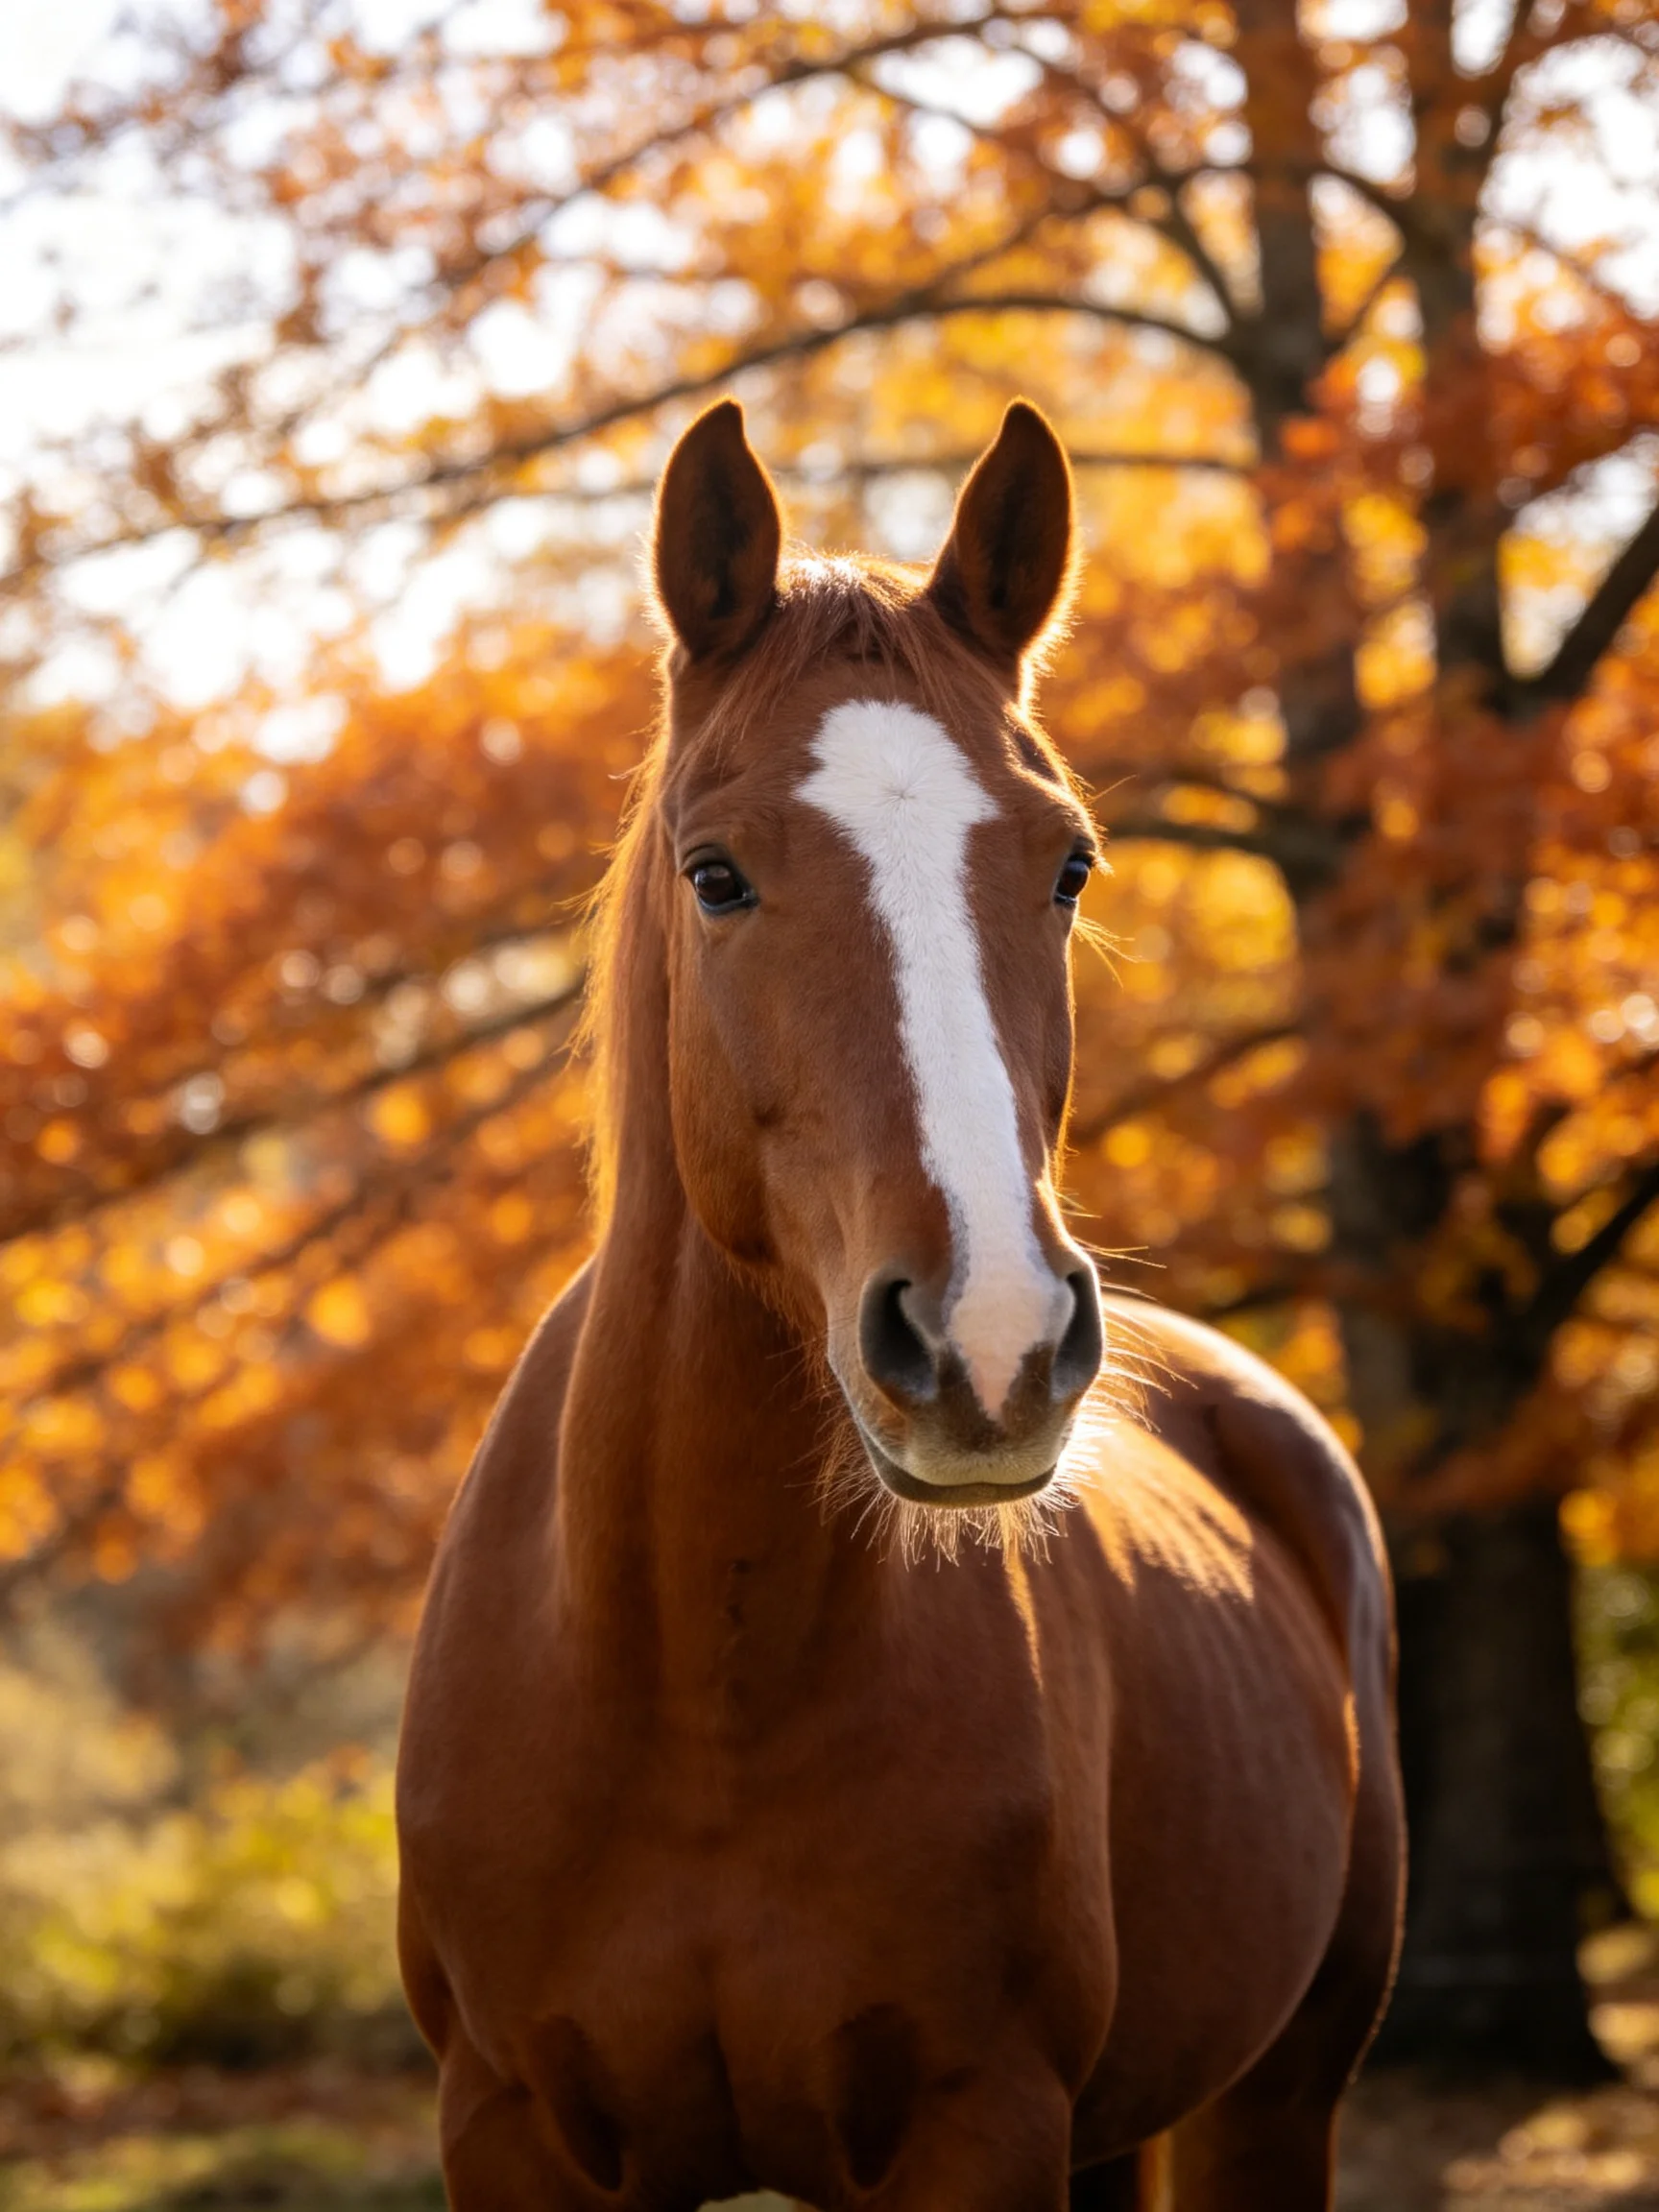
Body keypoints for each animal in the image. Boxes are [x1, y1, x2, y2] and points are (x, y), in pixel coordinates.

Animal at [396, 396, 1404, 2211]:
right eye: (716, 873)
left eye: (1067, 865)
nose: (989, 1338)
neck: (697, 1686)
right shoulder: (507, 2128)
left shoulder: (976, 2123)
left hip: (1278, 2095)